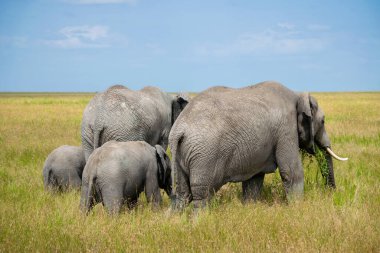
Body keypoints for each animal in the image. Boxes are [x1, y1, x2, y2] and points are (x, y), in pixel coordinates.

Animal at [169, 80, 348, 210]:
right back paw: (199, 222)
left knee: (182, 194)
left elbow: (254, 180)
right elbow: (291, 172)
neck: (296, 94)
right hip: (204, 155)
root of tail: (179, 129)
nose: (332, 194)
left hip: (182, 153)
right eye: (323, 121)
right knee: (201, 194)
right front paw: (298, 209)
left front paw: (249, 209)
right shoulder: (286, 130)